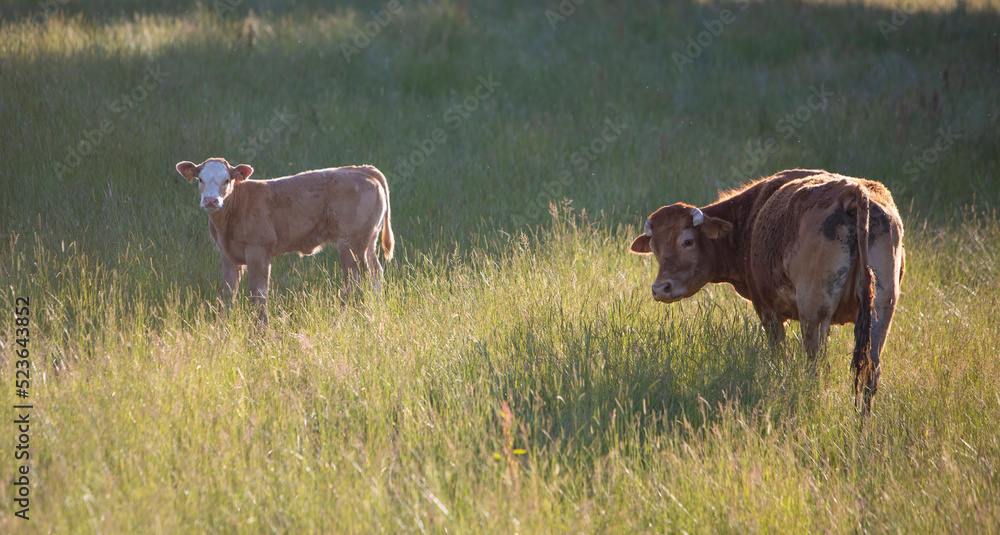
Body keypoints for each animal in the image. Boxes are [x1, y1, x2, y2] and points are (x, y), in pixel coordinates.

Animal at [176, 155, 394, 322]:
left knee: (357, 280)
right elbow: (228, 293)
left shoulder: (258, 253)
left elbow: (259, 293)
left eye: (226, 180)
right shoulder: (227, 255)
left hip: (350, 244)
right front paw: (224, 326)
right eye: (200, 179)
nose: (211, 200)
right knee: (375, 274)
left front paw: (260, 330)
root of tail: (363, 169)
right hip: (368, 242)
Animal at [632, 171, 908, 414]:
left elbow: (779, 355)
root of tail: (851, 192)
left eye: (687, 241)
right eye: (655, 248)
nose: (661, 288)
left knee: (817, 365)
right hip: (881, 311)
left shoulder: (768, 312)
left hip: (815, 315)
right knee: (869, 372)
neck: (749, 220)